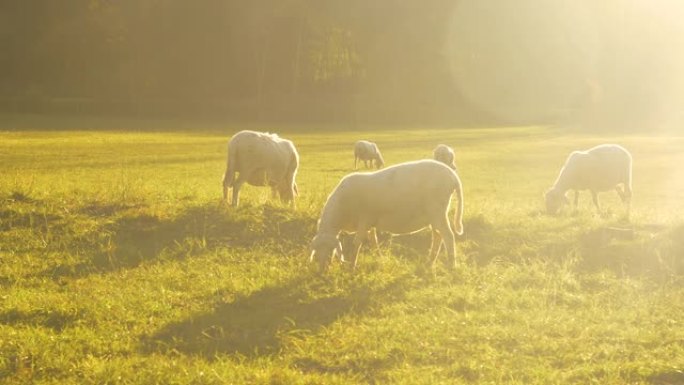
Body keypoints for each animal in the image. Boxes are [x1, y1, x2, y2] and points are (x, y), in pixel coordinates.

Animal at [310, 158, 464, 270]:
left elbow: (356, 244)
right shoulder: (370, 223)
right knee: (438, 236)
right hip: (435, 215)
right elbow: (373, 241)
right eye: (316, 255)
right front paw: (379, 258)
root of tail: (453, 177)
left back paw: (451, 266)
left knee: (448, 236)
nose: (322, 271)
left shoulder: (364, 220)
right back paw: (430, 262)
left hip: (437, 211)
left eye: (331, 251)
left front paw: (352, 267)